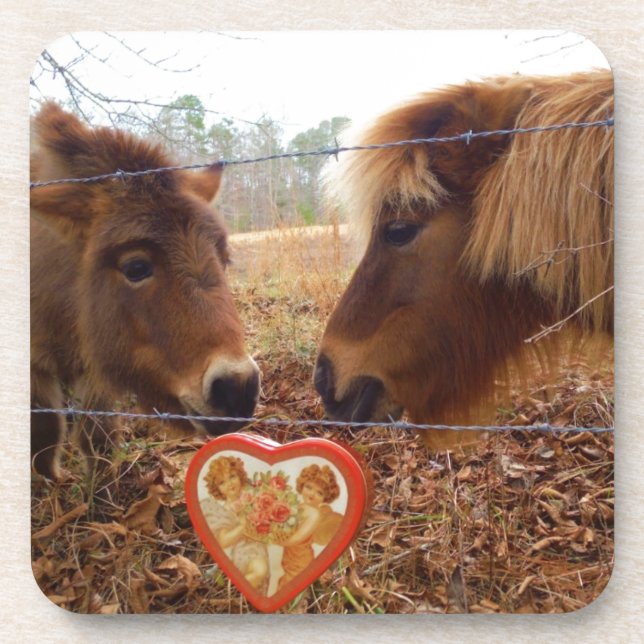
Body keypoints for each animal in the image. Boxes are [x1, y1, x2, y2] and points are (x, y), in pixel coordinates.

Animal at [31, 102, 260, 483]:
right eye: (135, 267)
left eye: (224, 259)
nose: (237, 388)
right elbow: (45, 433)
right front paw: (53, 483)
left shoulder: (95, 364)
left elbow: (97, 435)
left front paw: (103, 487)